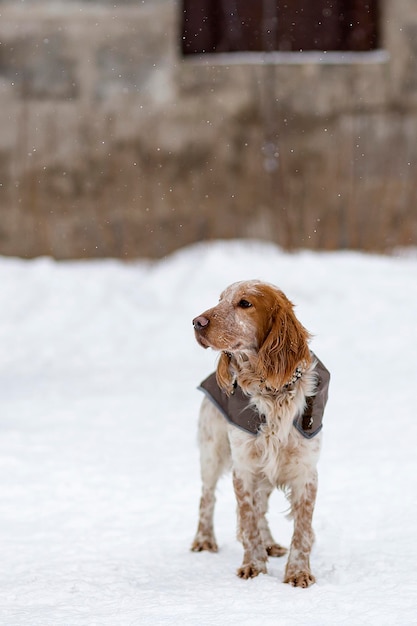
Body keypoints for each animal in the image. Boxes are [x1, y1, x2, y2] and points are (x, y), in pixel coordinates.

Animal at [191, 280, 328, 588]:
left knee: (261, 506)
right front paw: (253, 566)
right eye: (220, 299)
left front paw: (298, 572)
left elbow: (302, 530)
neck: (271, 390)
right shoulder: (243, 468)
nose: (196, 322)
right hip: (212, 451)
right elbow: (248, 520)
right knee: (208, 496)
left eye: (245, 303)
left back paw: (270, 544)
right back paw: (204, 540)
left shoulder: (305, 471)